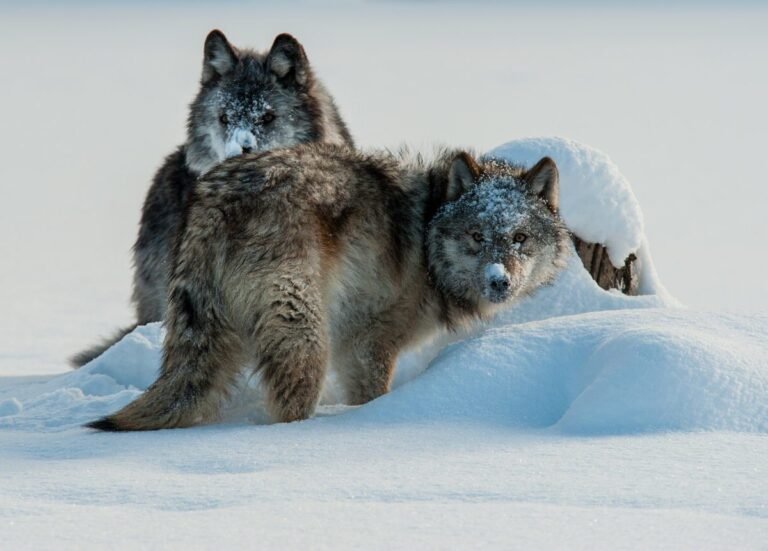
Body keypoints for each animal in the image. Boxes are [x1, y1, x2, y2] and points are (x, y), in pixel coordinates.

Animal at [87, 143, 570, 431]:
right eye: (476, 236)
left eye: (519, 238)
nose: (499, 281)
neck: (428, 241)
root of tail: (218, 200)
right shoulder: (368, 346)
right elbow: (373, 397)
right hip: (306, 339)